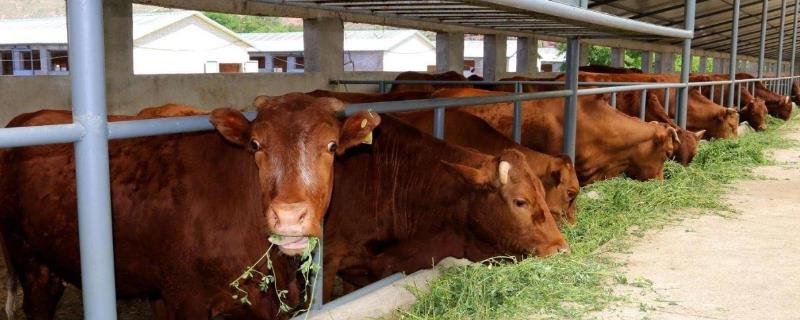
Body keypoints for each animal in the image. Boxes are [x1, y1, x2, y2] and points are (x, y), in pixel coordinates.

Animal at [0, 92, 380, 318]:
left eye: (331, 146)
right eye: (256, 145)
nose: (288, 217)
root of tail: (28, 118)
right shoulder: (186, 297)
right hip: (29, 258)